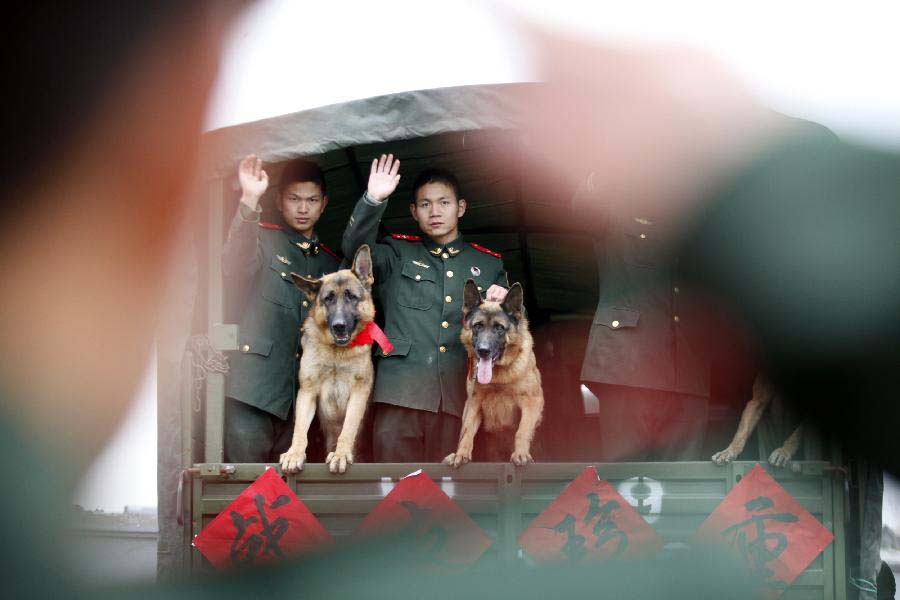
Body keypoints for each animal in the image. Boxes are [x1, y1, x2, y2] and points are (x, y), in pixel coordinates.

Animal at [280, 244, 374, 474]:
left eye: (351, 297)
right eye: (329, 299)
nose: (339, 326)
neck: (336, 354)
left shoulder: (359, 393)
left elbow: (348, 428)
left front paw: (341, 454)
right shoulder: (308, 392)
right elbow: (300, 429)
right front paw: (294, 453)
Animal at [442, 278, 540, 466]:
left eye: (499, 328)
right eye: (478, 326)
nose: (483, 351)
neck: (498, 380)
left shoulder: (531, 402)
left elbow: (522, 431)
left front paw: (521, 453)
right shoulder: (473, 403)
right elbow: (466, 432)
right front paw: (461, 454)